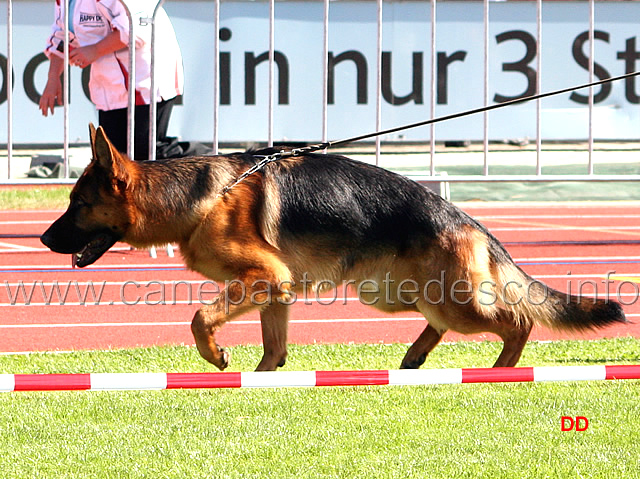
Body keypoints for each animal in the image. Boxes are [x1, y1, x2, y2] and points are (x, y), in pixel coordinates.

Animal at [42, 124, 628, 372]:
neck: (196, 198)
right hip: (398, 294)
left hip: (448, 301)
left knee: (517, 321)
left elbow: (199, 318)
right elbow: (273, 350)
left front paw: (217, 355)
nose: (45, 239)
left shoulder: (263, 280)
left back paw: (503, 371)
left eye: (77, 204)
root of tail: (469, 220)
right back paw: (415, 357)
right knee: (441, 325)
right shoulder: (275, 293)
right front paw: (263, 380)